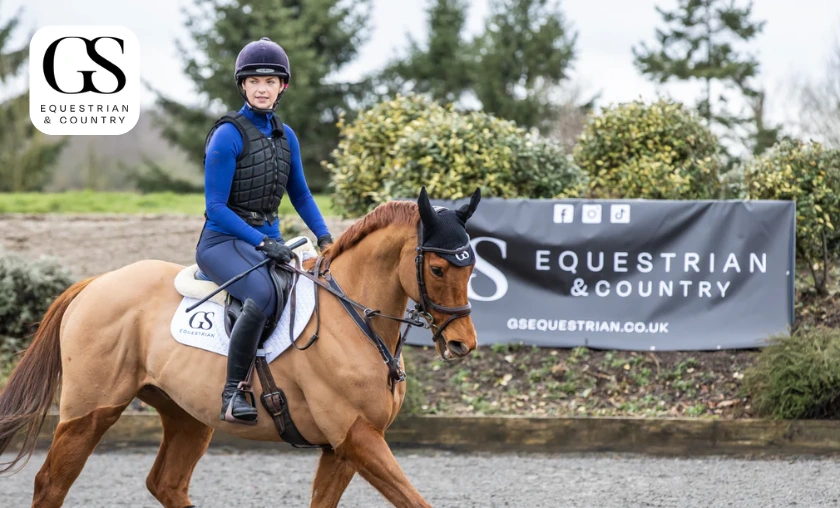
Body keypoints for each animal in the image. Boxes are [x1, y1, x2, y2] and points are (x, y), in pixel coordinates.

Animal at [0, 187, 481, 508]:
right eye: (438, 269)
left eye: (472, 267)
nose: (462, 344)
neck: (354, 318)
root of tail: (95, 282)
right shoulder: (358, 436)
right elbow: (415, 500)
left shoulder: (344, 446)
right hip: (90, 411)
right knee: (51, 484)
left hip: (188, 415)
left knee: (166, 483)